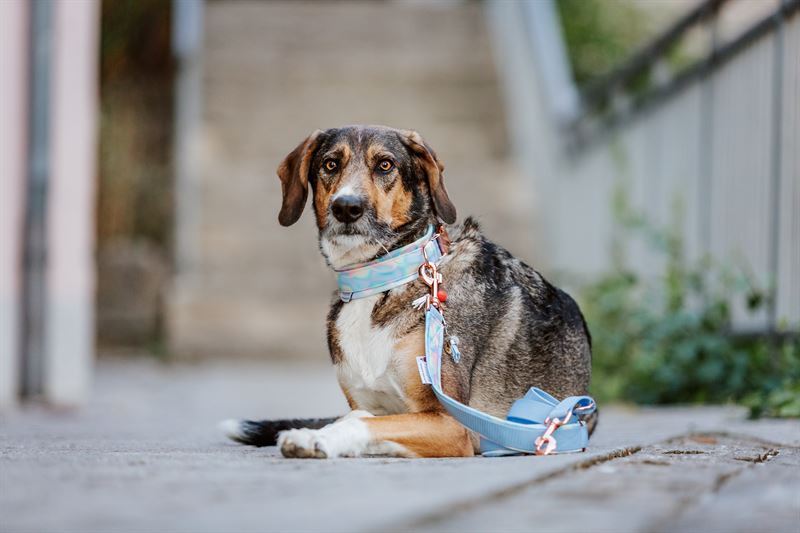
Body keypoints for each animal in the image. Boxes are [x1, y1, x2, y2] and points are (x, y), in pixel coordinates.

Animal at [222, 123, 596, 458]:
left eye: (385, 165)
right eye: (330, 164)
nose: (346, 207)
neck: (379, 280)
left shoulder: (452, 424)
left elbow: (364, 423)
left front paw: (313, 438)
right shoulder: (371, 403)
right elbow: (361, 418)